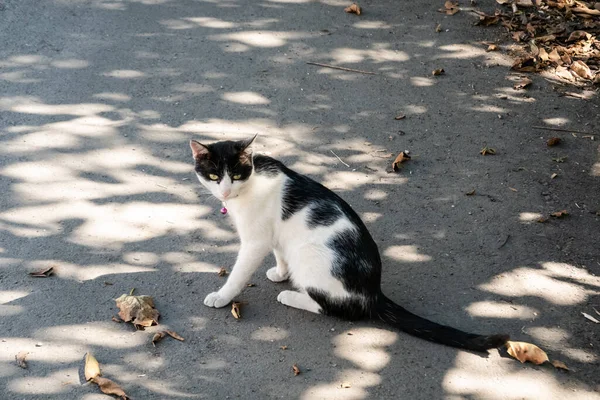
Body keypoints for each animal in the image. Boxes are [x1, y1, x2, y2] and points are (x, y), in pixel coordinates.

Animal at [190, 138, 508, 354]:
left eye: (236, 175)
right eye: (215, 176)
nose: (225, 192)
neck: (253, 180)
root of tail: (373, 292)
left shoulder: (255, 240)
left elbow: (239, 274)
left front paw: (222, 296)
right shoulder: (274, 232)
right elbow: (279, 251)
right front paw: (280, 272)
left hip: (309, 256)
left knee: (336, 308)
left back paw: (292, 296)